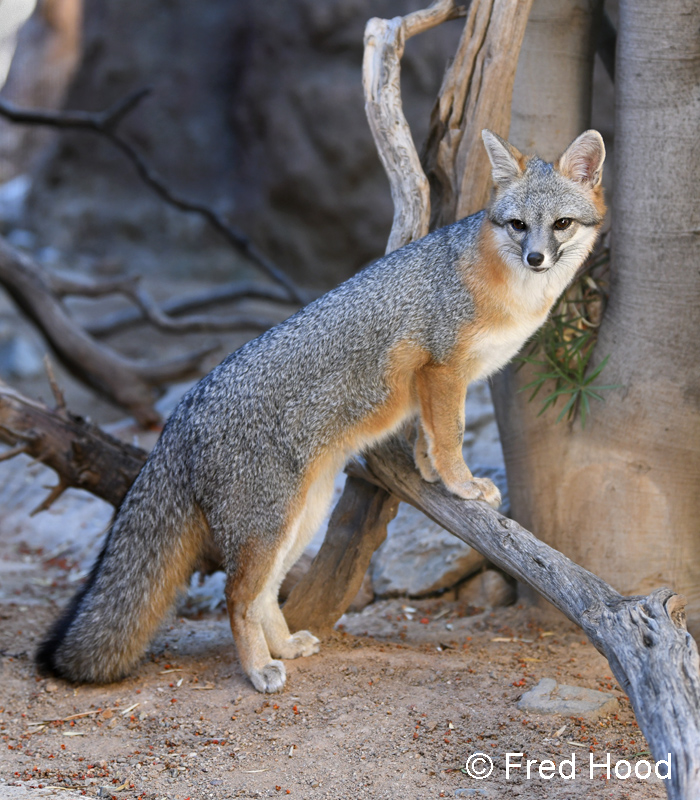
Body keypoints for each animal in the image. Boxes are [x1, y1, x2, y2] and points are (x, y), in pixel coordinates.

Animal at [36, 129, 606, 693]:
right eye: (518, 225)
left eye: (560, 224)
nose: (536, 258)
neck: (510, 291)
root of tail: (183, 408)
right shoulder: (442, 368)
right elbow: (450, 433)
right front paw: (461, 484)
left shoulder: (437, 381)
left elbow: (428, 433)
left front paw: (428, 472)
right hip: (266, 526)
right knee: (237, 597)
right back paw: (257, 669)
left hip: (300, 519)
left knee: (265, 593)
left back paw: (285, 646)